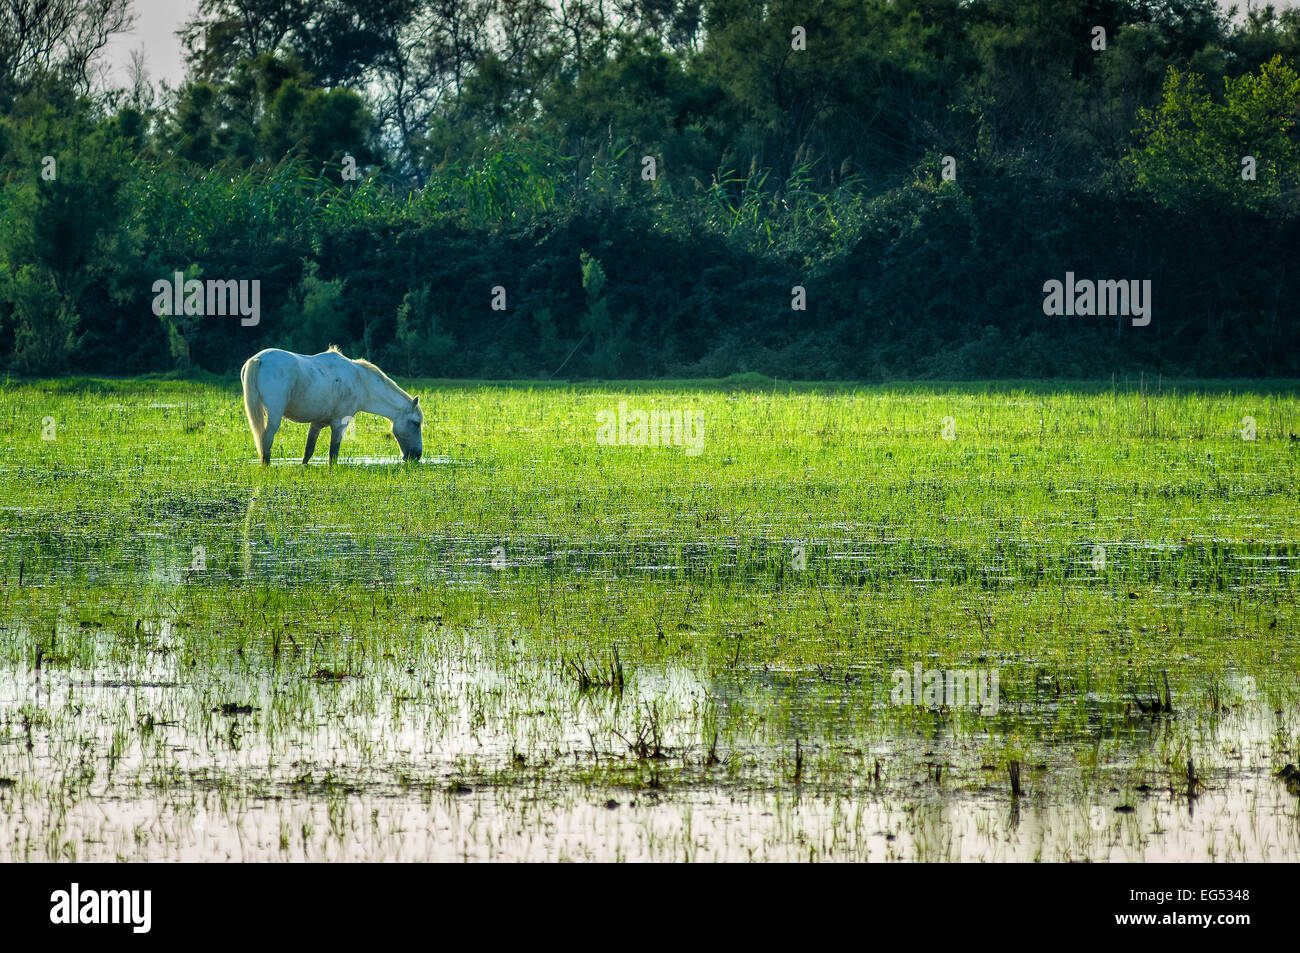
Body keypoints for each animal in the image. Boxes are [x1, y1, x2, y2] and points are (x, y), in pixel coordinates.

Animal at [241, 345, 423, 465]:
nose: (417, 456)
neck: (361, 381)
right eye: (415, 423)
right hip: (274, 416)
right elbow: (333, 455)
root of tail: (258, 359)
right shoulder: (339, 424)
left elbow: (308, 453)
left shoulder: (317, 424)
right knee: (266, 442)